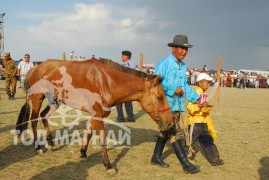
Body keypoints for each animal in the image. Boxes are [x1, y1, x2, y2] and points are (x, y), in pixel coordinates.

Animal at [15, 58, 173, 169]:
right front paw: (108, 165)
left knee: (44, 116)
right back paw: (38, 147)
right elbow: (102, 138)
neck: (106, 81)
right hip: (37, 98)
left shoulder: (95, 114)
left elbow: (89, 133)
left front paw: (83, 152)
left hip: (55, 101)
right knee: (34, 120)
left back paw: (50, 143)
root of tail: (36, 67)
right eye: (160, 97)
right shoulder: (97, 114)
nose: (171, 121)